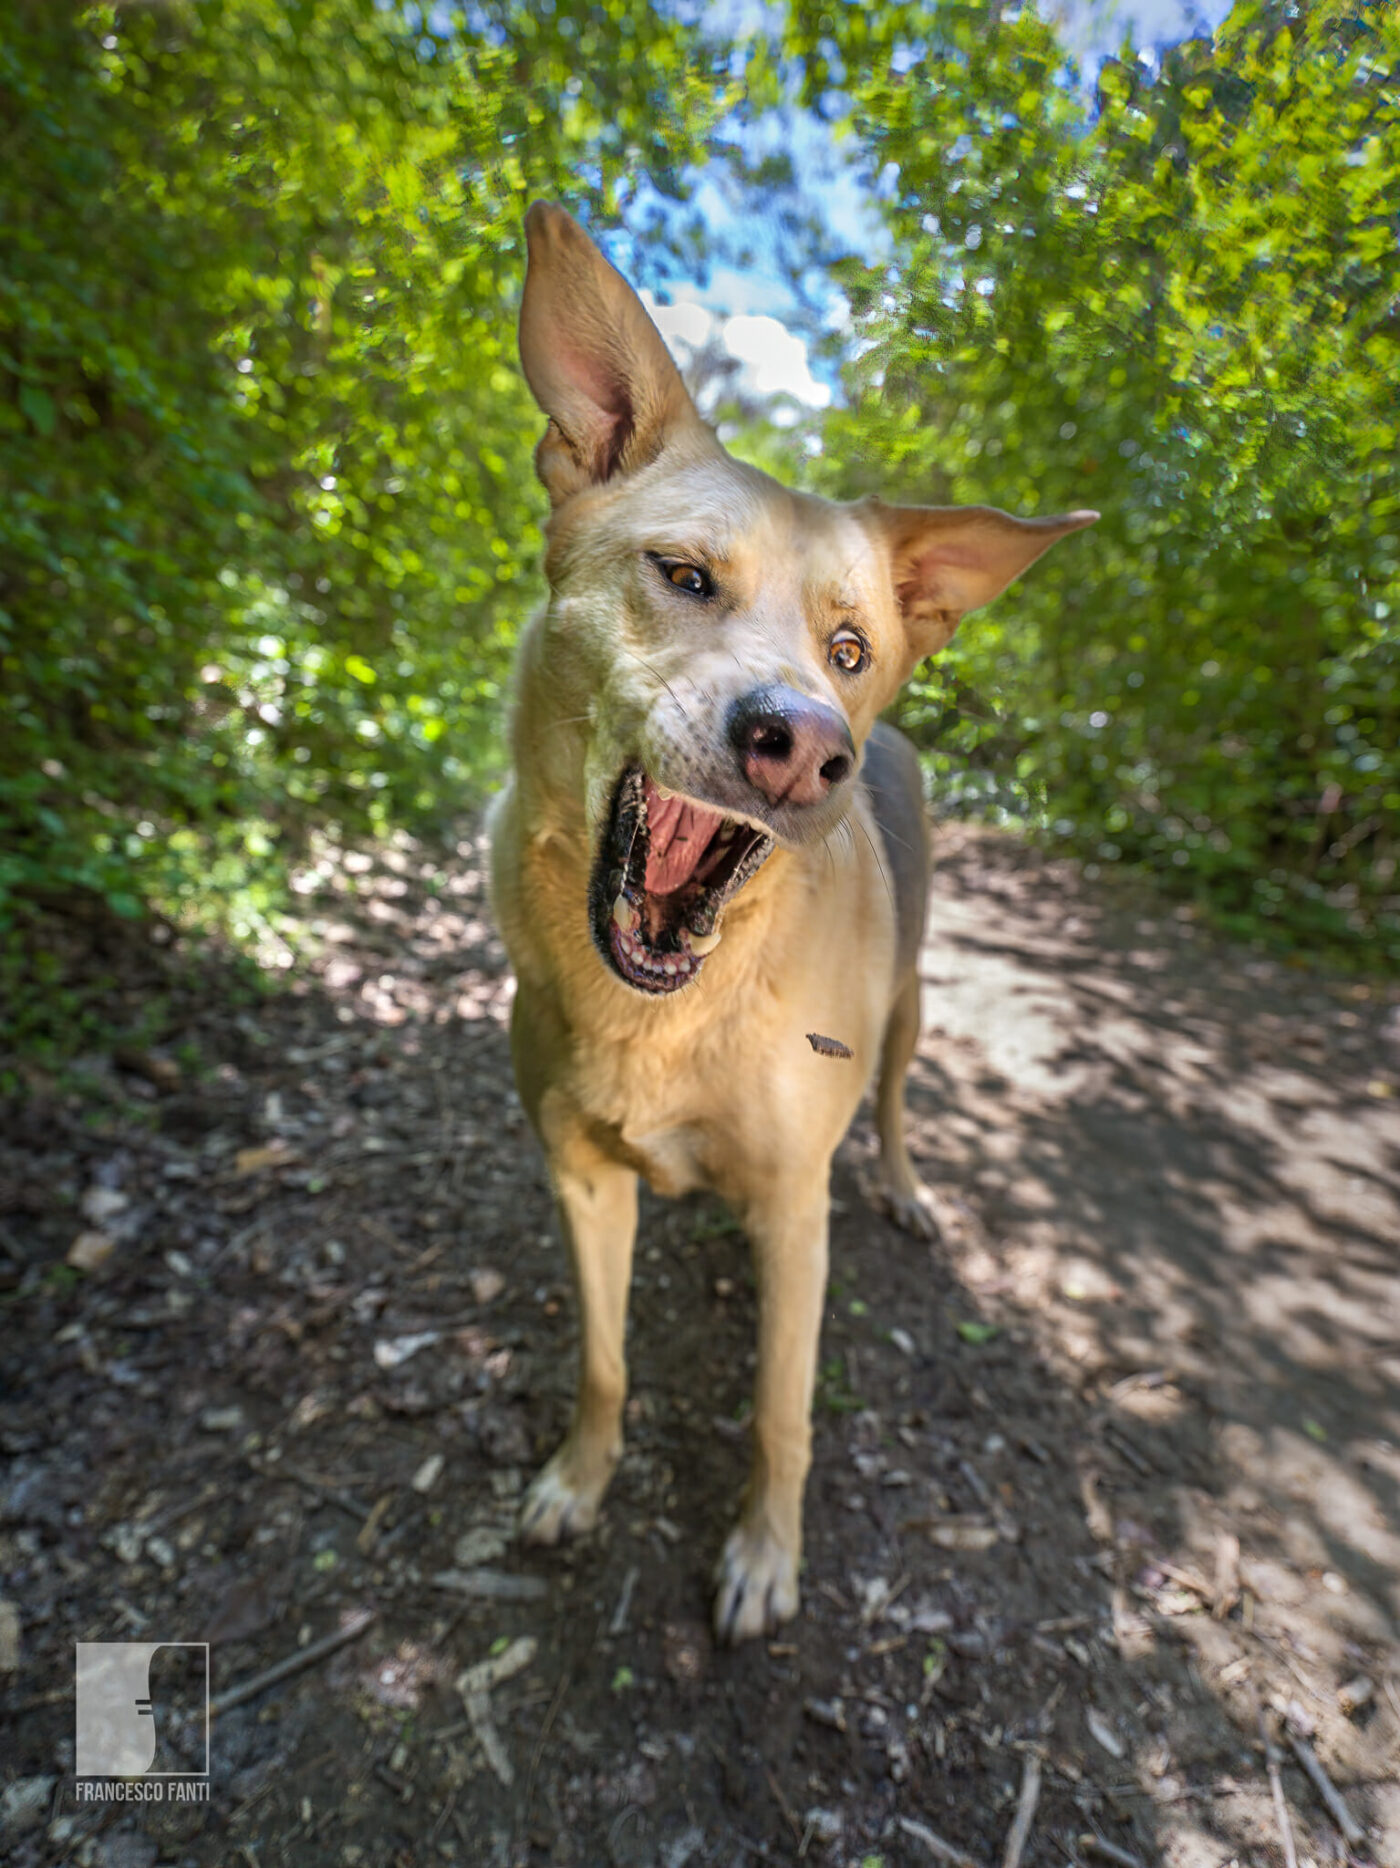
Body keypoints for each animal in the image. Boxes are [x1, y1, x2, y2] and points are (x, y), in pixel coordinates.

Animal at [489, 197, 1091, 1643]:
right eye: (683, 576)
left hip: (910, 1017)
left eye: (850, 648)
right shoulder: (580, 1178)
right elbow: (603, 1361)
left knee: (894, 1107)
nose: (808, 746)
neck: (672, 1009)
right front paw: (577, 1480)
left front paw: (766, 1556)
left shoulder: (794, 1217)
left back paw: (911, 1187)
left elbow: (781, 1412)